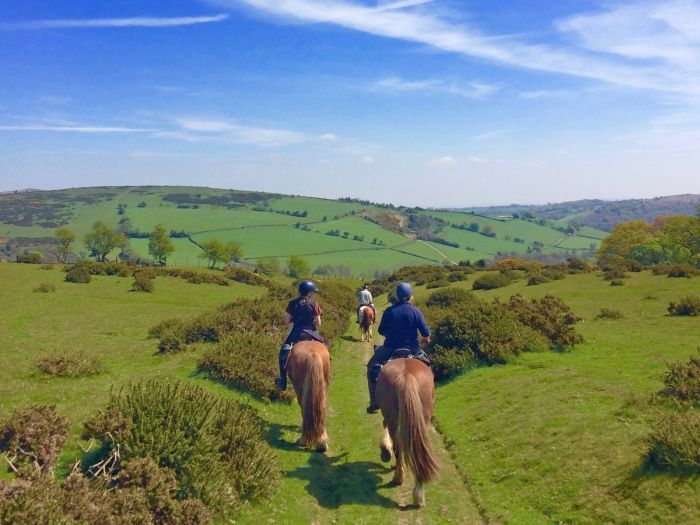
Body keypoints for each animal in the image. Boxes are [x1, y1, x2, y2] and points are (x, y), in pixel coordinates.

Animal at [378, 356, 438, 504]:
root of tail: (406, 374)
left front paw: (385, 449)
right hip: (423, 418)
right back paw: (419, 494)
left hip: (393, 417)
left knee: (397, 447)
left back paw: (398, 477)